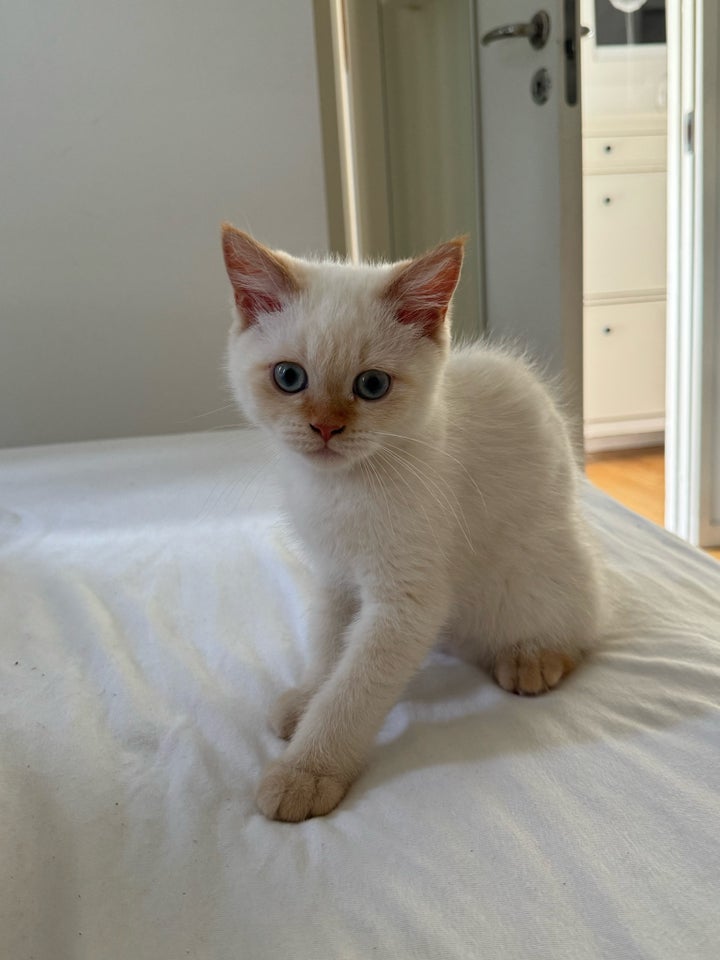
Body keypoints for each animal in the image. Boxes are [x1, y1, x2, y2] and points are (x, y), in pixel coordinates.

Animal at [221, 221, 600, 820]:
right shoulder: (334, 576)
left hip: (533, 574)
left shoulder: (407, 600)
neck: (340, 490)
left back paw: (532, 659)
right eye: (288, 376)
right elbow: (328, 646)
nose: (325, 427)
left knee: (581, 627)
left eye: (372, 386)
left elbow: (353, 690)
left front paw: (306, 771)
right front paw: (307, 698)